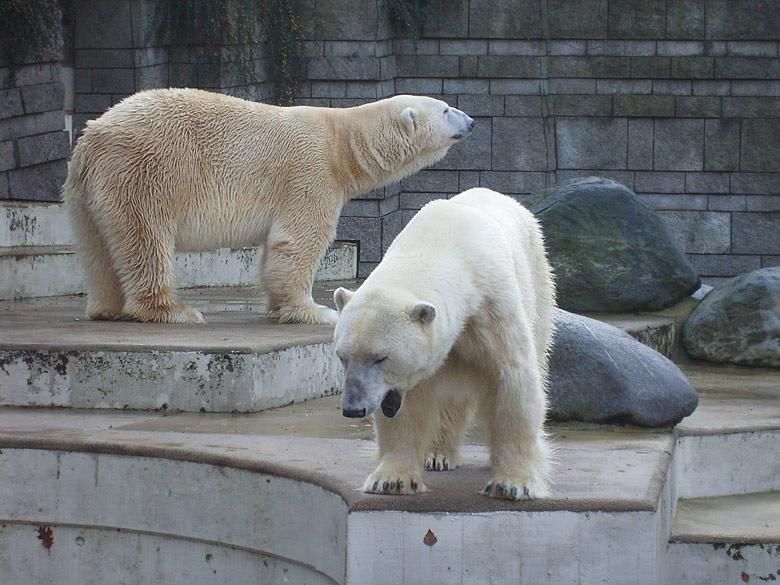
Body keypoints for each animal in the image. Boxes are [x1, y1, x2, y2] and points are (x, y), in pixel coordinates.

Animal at [62, 89, 476, 324]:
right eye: (445, 109)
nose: (471, 121)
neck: (340, 142)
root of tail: (93, 137)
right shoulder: (310, 173)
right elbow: (299, 241)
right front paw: (317, 311)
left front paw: (279, 308)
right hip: (149, 169)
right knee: (146, 236)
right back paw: (174, 310)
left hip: (85, 190)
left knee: (97, 247)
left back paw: (107, 307)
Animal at [334, 187, 556, 498]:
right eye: (342, 356)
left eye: (380, 357)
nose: (353, 408)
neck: (441, 241)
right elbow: (407, 403)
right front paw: (391, 479)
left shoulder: (491, 306)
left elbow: (513, 380)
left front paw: (513, 484)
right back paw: (436, 455)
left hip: (538, 278)